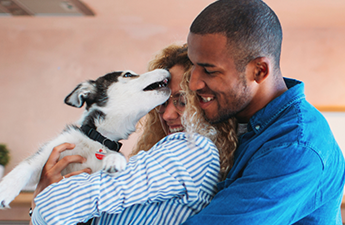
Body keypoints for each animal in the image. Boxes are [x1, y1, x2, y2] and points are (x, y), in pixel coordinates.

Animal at [0, 69, 170, 208]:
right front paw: (6, 189)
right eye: (128, 75)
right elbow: (25, 167)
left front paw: (114, 160)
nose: (166, 70)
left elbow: (117, 156)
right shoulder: (48, 152)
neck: (98, 138)